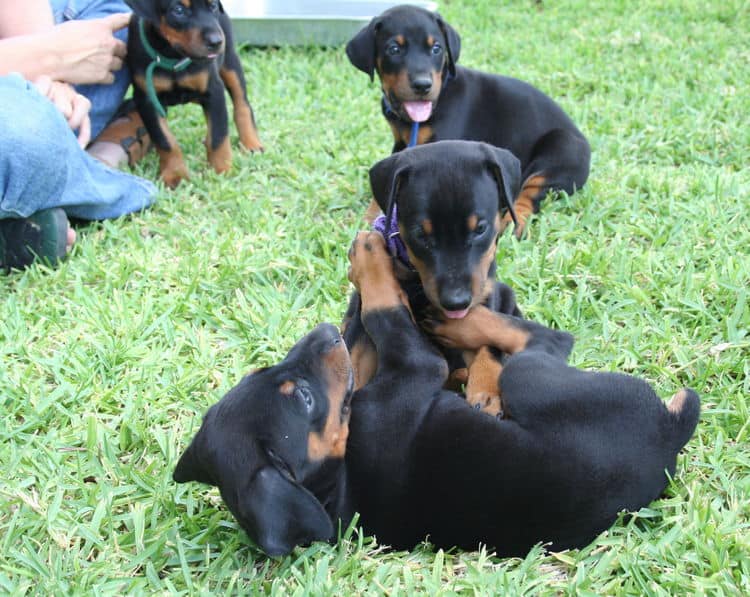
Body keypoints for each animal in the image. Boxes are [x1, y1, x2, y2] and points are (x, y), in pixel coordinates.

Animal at [125, 0, 262, 186]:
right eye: (178, 10)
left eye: (213, 6)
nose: (216, 41)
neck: (172, 56)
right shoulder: (147, 100)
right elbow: (165, 140)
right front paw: (174, 175)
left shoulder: (214, 91)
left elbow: (218, 136)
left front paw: (222, 171)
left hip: (230, 61)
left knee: (242, 104)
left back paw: (250, 143)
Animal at [173, 230, 704, 556]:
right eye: (301, 398)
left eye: (263, 371)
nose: (324, 333)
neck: (334, 480)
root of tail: (669, 432)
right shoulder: (413, 368)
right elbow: (385, 313)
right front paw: (371, 260)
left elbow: (363, 337)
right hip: (531, 379)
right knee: (547, 340)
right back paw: (465, 328)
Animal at [348, 6, 592, 237]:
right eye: (394, 49)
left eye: (436, 48)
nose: (423, 85)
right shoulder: (401, 141)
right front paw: (370, 215)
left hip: (563, 148)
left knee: (530, 193)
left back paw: (513, 221)